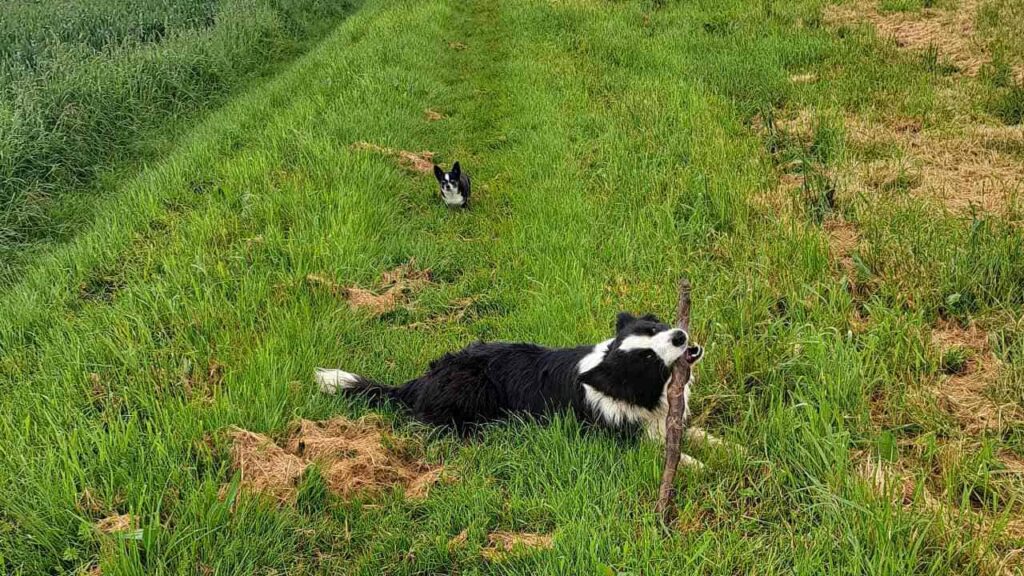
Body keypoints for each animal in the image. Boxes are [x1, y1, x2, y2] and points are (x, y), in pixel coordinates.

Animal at [315, 311, 716, 455]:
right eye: (646, 357)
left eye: (652, 328)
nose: (680, 336)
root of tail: (421, 381)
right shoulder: (622, 437)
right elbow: (674, 455)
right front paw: (701, 466)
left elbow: (701, 436)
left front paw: (726, 449)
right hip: (474, 386)